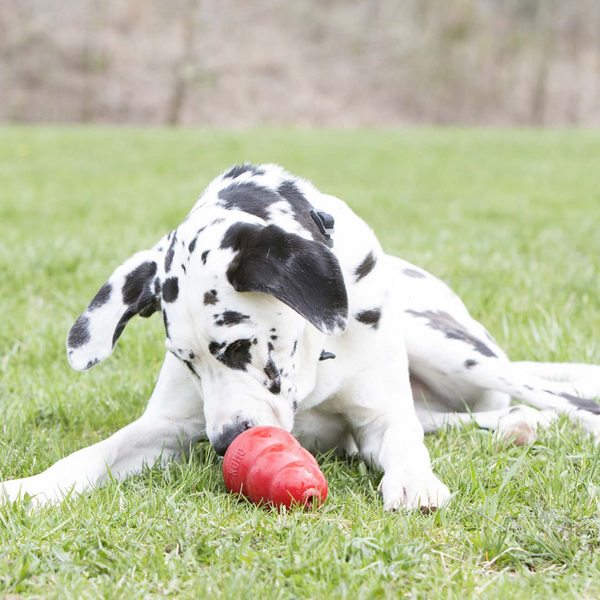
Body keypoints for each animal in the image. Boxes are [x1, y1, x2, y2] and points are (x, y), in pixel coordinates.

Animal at [2, 164, 596, 510]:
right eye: (187, 361)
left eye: (239, 346)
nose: (225, 442)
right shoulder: (166, 427)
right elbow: (97, 452)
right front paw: (32, 487)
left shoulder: (380, 416)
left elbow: (404, 439)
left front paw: (414, 480)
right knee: (466, 416)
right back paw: (518, 425)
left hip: (450, 348)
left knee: (555, 396)